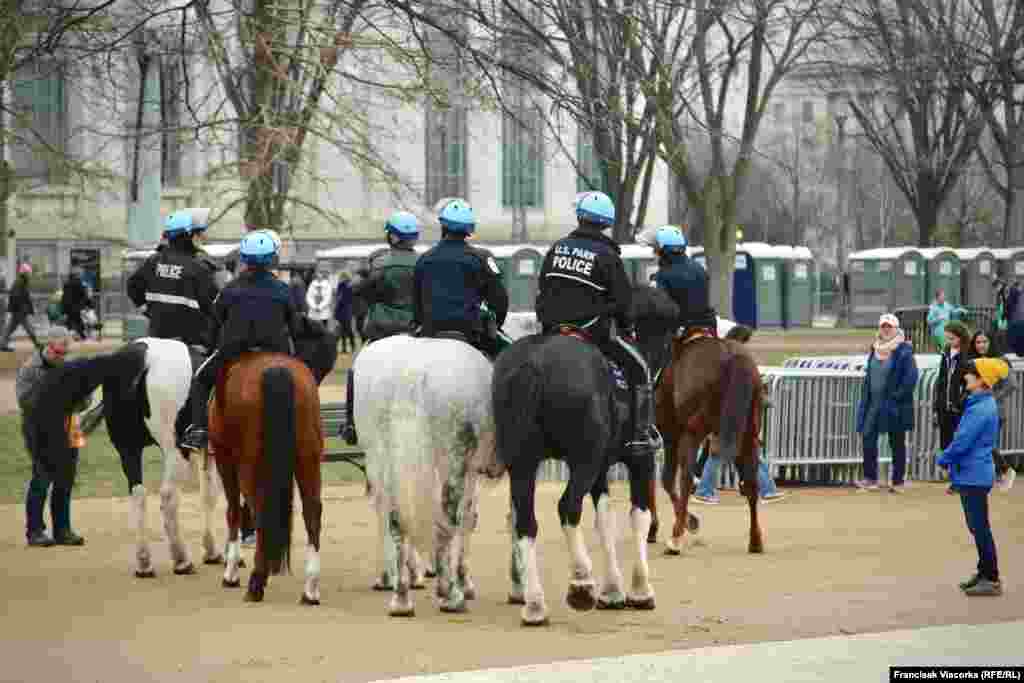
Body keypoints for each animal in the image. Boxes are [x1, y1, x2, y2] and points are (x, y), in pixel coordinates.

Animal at [212, 352, 327, 602]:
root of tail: (276, 368)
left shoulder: (225, 460)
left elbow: (233, 512)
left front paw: (231, 572)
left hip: (248, 466)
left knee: (259, 511)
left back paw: (256, 582)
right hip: (308, 459)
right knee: (312, 513)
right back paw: (310, 588)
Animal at [354, 333, 505, 618]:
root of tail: (412, 371)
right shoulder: (468, 471)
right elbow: (467, 520)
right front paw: (462, 582)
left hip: (381, 459)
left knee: (391, 518)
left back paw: (399, 594)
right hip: (452, 462)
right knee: (447, 518)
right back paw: (451, 596)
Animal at [489, 282, 675, 626]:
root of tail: (533, 365)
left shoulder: (600, 469)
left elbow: (604, 520)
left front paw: (612, 591)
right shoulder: (638, 461)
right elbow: (639, 516)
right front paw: (639, 590)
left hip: (523, 464)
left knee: (525, 522)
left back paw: (534, 604)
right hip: (582, 461)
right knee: (567, 507)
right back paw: (581, 582)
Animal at [651, 335, 765, 557]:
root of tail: (730, 354)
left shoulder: (670, 436)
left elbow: (666, 480)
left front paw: (688, 522)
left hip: (691, 434)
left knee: (686, 479)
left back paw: (676, 539)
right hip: (748, 435)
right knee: (751, 483)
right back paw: (755, 541)